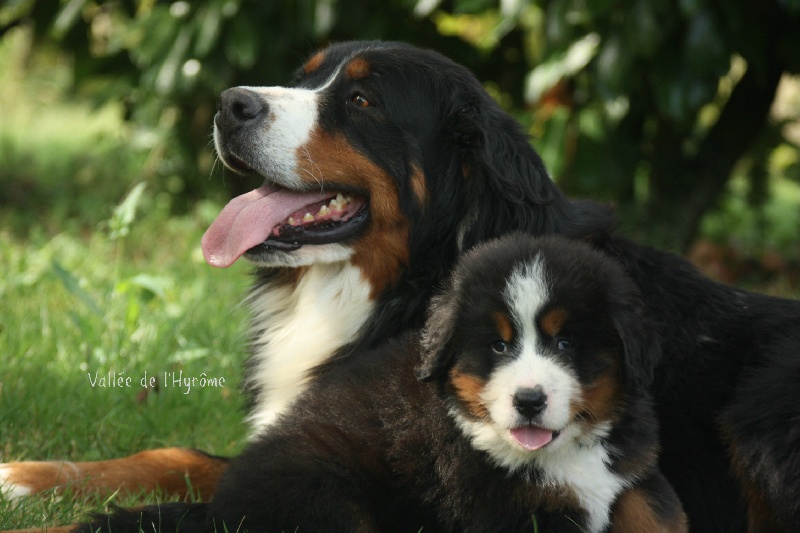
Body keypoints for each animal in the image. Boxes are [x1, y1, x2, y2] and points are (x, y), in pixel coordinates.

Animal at [79, 236, 688, 532]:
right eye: (498, 346)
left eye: (565, 344)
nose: (529, 401)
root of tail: (217, 512)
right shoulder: (513, 512)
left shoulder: (633, 471)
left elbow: (661, 512)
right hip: (330, 499)